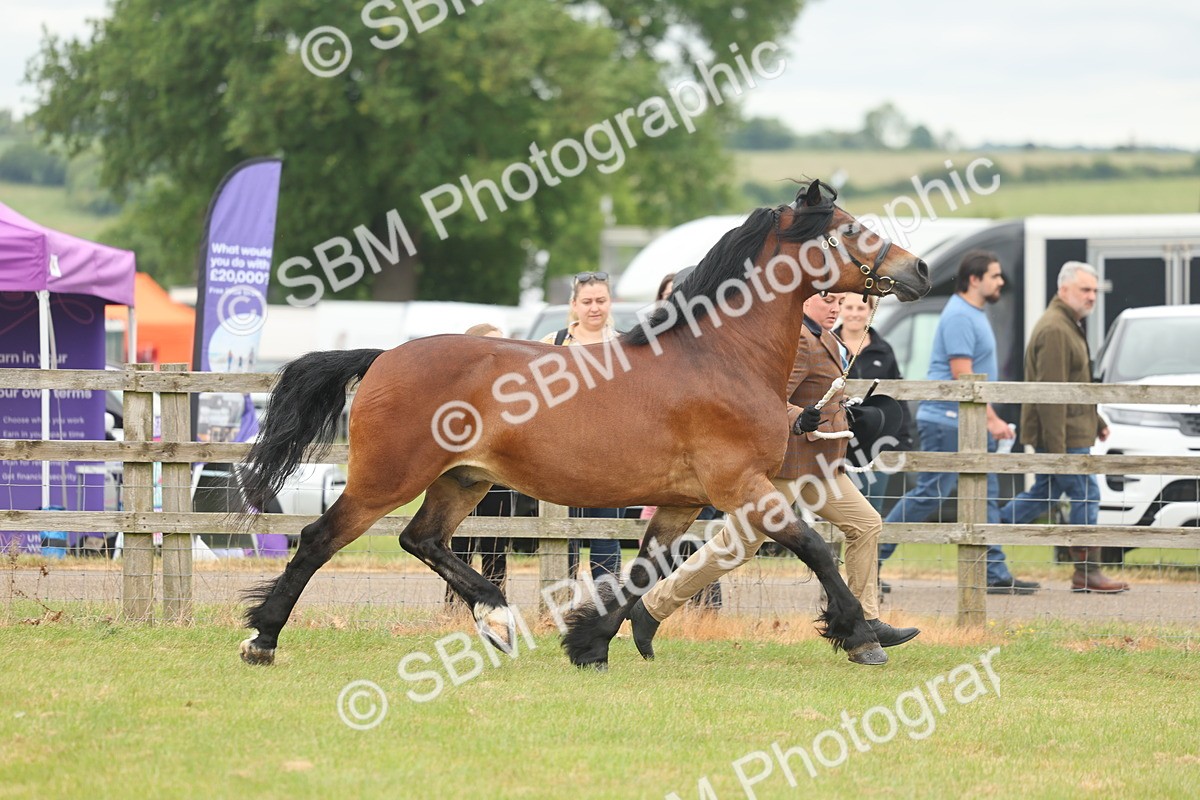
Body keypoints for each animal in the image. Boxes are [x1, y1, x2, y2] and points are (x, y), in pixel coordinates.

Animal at [237, 180, 930, 669]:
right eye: (851, 229)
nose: (919, 269)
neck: (720, 356)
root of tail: (385, 356)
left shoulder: (680, 503)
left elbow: (643, 572)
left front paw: (590, 643)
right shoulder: (742, 488)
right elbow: (815, 548)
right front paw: (862, 636)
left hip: (463, 479)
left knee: (422, 540)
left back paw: (497, 619)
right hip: (387, 478)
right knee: (320, 539)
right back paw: (263, 639)